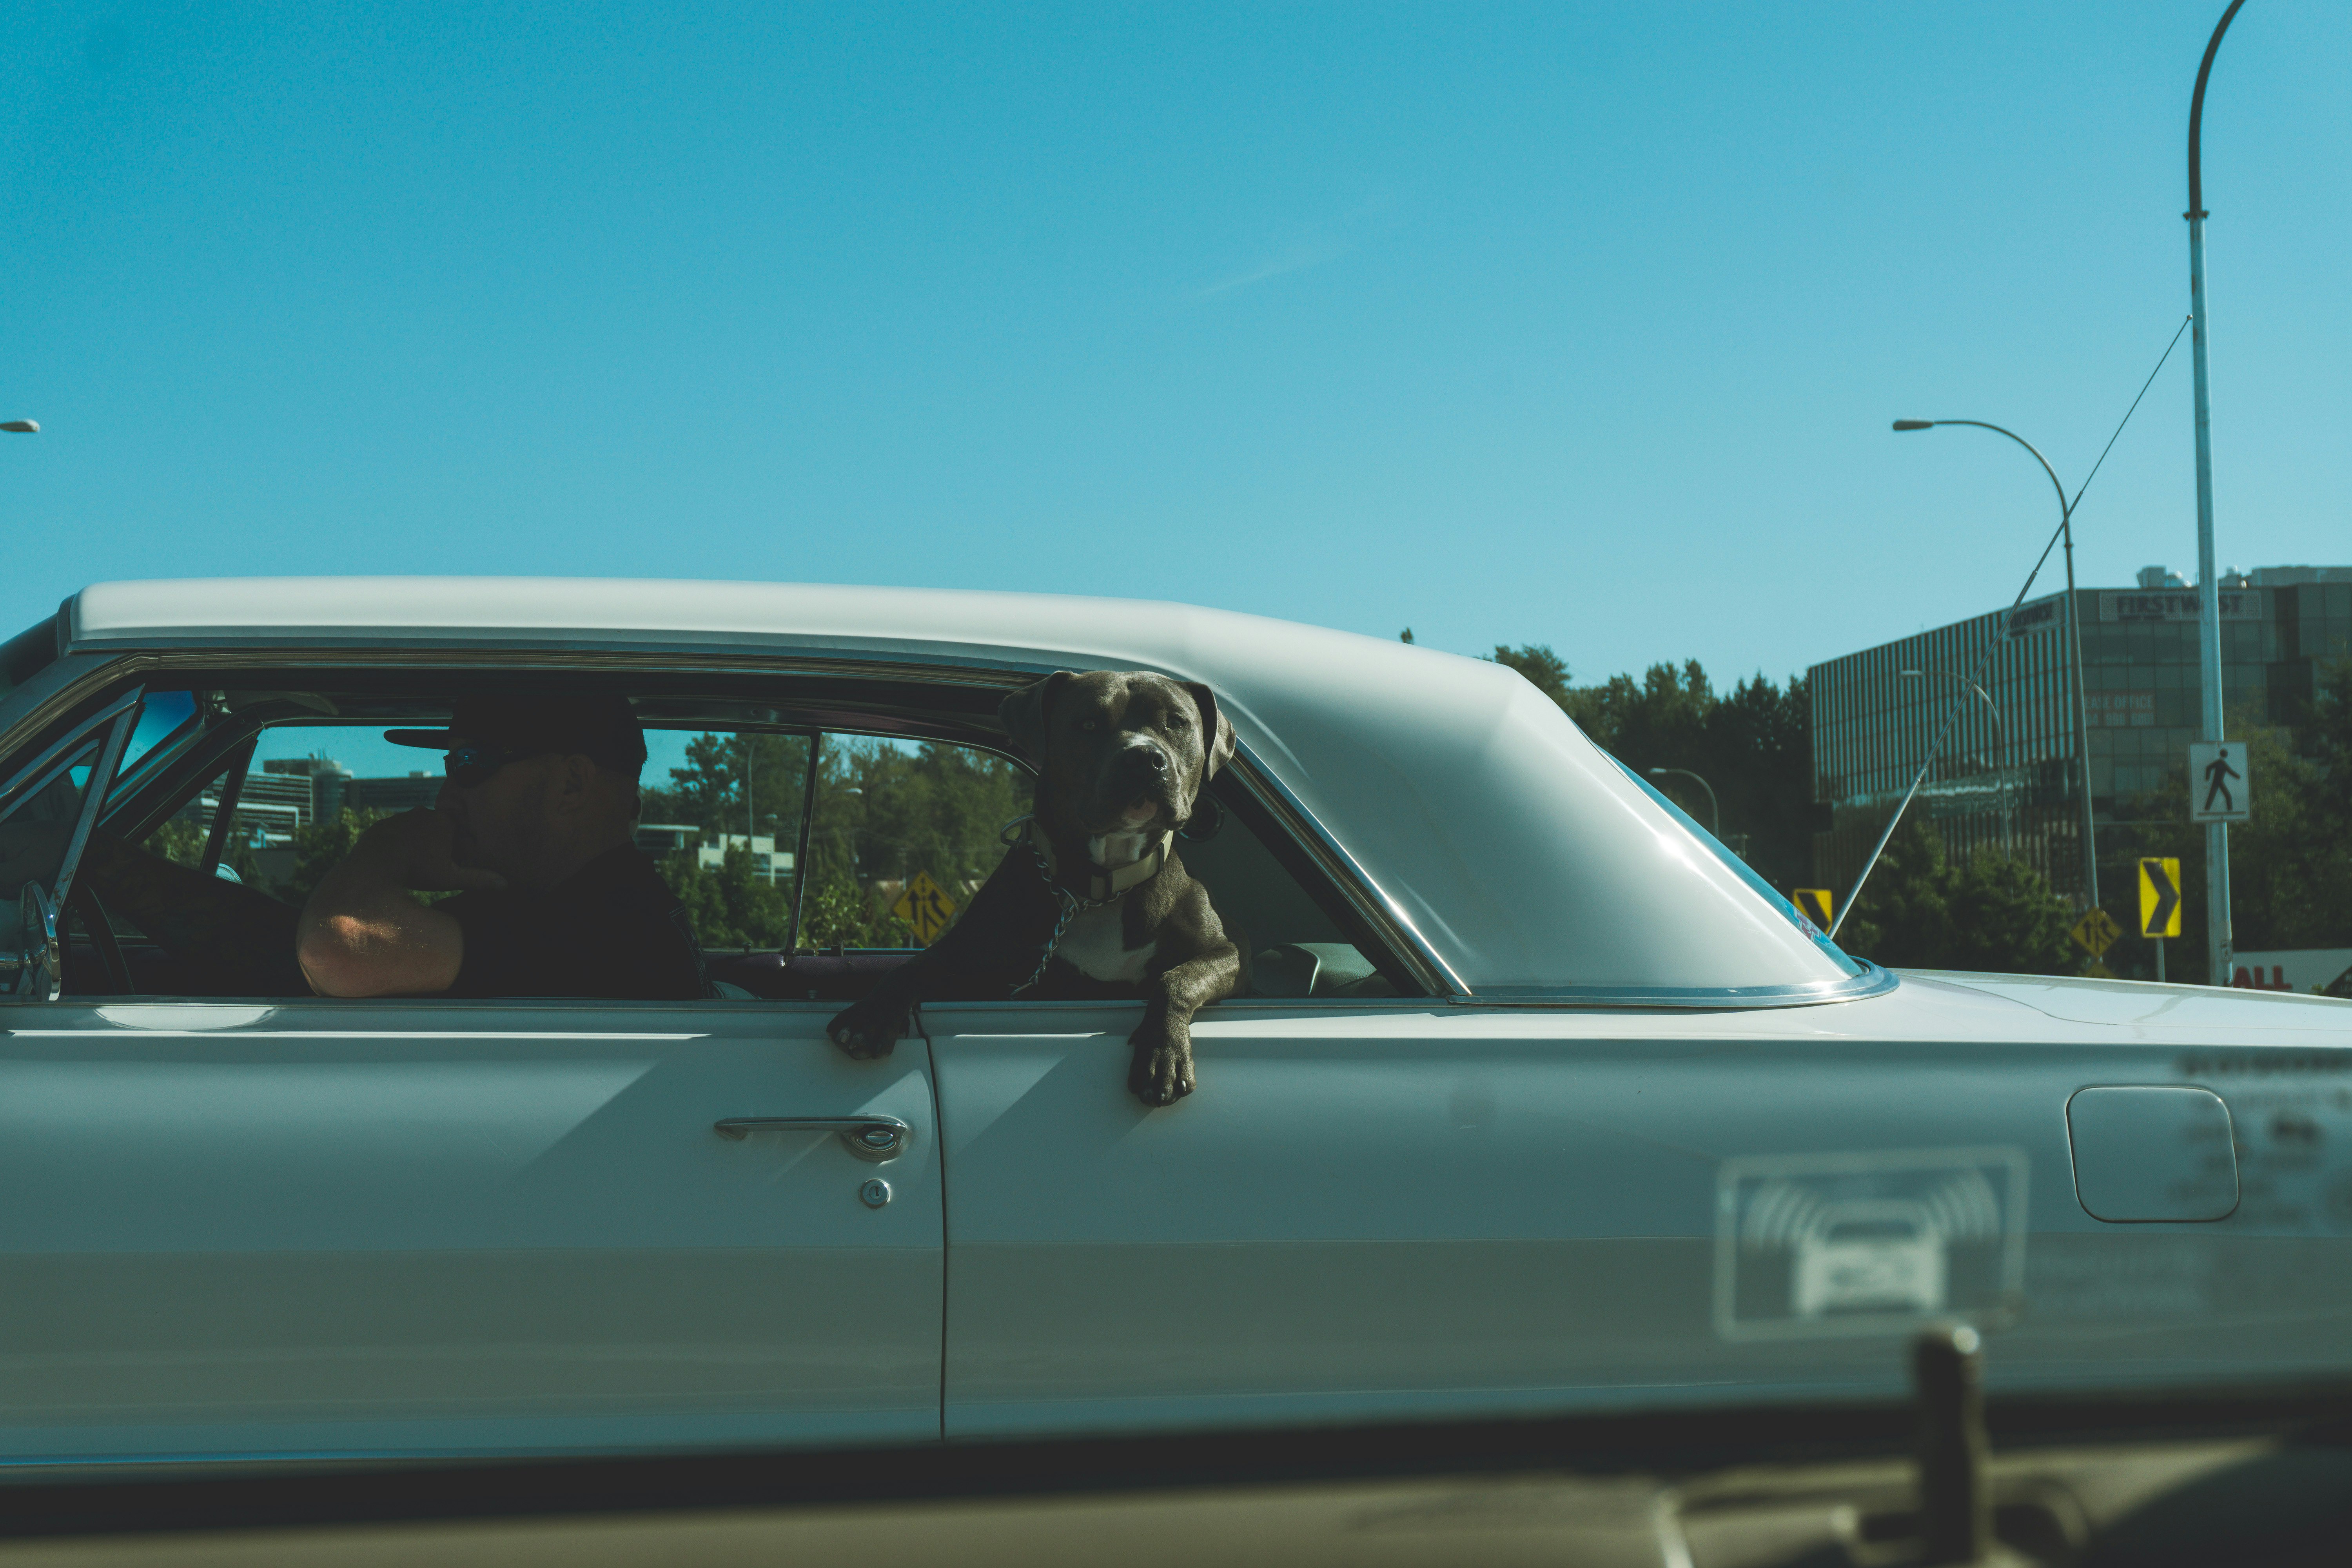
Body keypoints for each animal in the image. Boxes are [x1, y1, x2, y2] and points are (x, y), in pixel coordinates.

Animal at [823, 672, 1242, 1105]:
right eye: (1088, 723)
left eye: (1176, 723)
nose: (1144, 758)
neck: (1101, 885)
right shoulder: (964, 958)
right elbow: (911, 966)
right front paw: (870, 1016)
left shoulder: (1223, 953)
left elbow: (1178, 978)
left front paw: (1164, 1054)